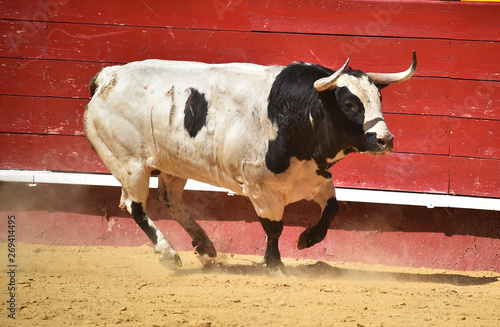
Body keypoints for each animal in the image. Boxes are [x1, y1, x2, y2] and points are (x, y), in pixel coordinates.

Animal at [84, 52, 416, 272]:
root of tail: (108, 77)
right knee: (134, 206)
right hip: (131, 165)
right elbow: (274, 227)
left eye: (379, 100)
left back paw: (204, 244)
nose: (385, 140)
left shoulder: (316, 179)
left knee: (170, 200)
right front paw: (275, 264)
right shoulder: (261, 189)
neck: (292, 114)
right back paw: (168, 252)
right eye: (349, 104)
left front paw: (307, 239)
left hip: (172, 165)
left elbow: (332, 209)